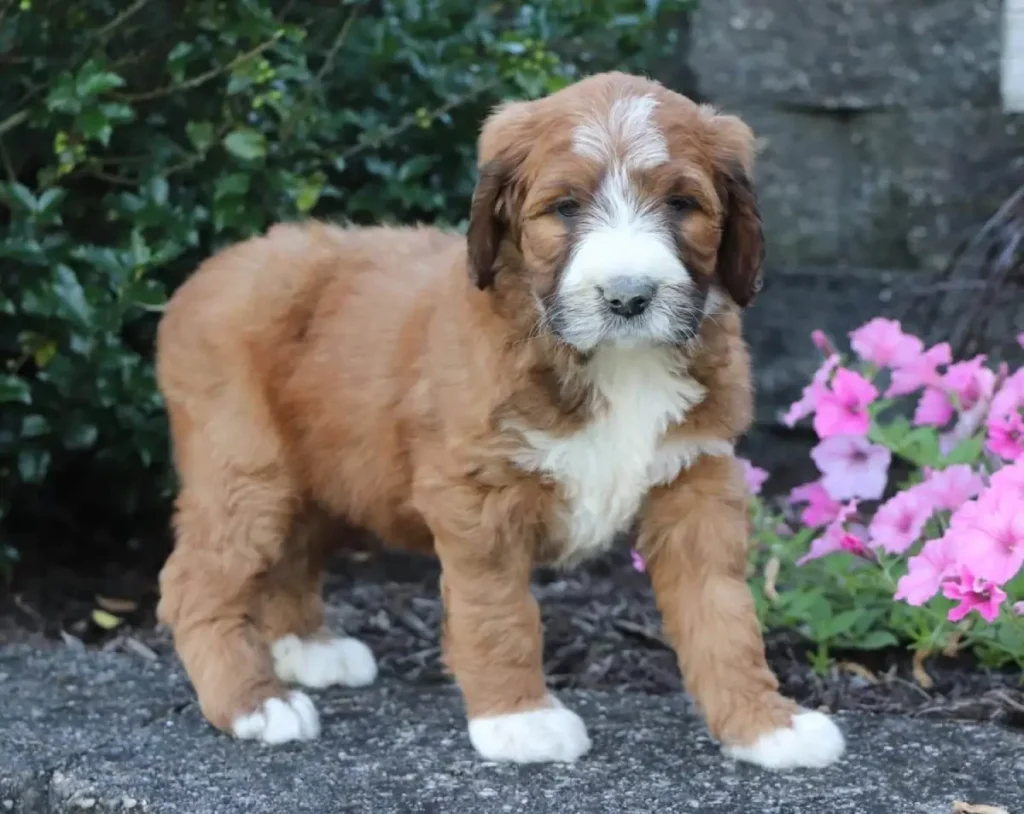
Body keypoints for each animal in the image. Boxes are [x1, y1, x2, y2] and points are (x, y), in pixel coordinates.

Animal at [157, 71, 847, 769]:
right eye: (565, 207)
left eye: (681, 204)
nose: (628, 297)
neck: (606, 359)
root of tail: (209, 273)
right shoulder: (476, 494)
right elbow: (498, 609)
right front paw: (520, 719)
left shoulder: (697, 478)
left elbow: (723, 611)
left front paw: (765, 724)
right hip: (247, 469)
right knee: (194, 581)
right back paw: (253, 703)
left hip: (323, 474)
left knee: (292, 554)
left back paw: (307, 648)